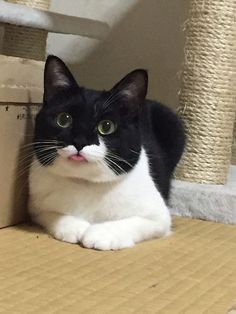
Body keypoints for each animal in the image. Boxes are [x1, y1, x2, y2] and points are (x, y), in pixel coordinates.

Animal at [29, 55, 184, 250]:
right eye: (63, 119)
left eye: (107, 126)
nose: (80, 141)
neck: (86, 184)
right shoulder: (36, 206)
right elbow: (51, 213)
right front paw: (75, 227)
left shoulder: (158, 217)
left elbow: (134, 222)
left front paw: (100, 233)